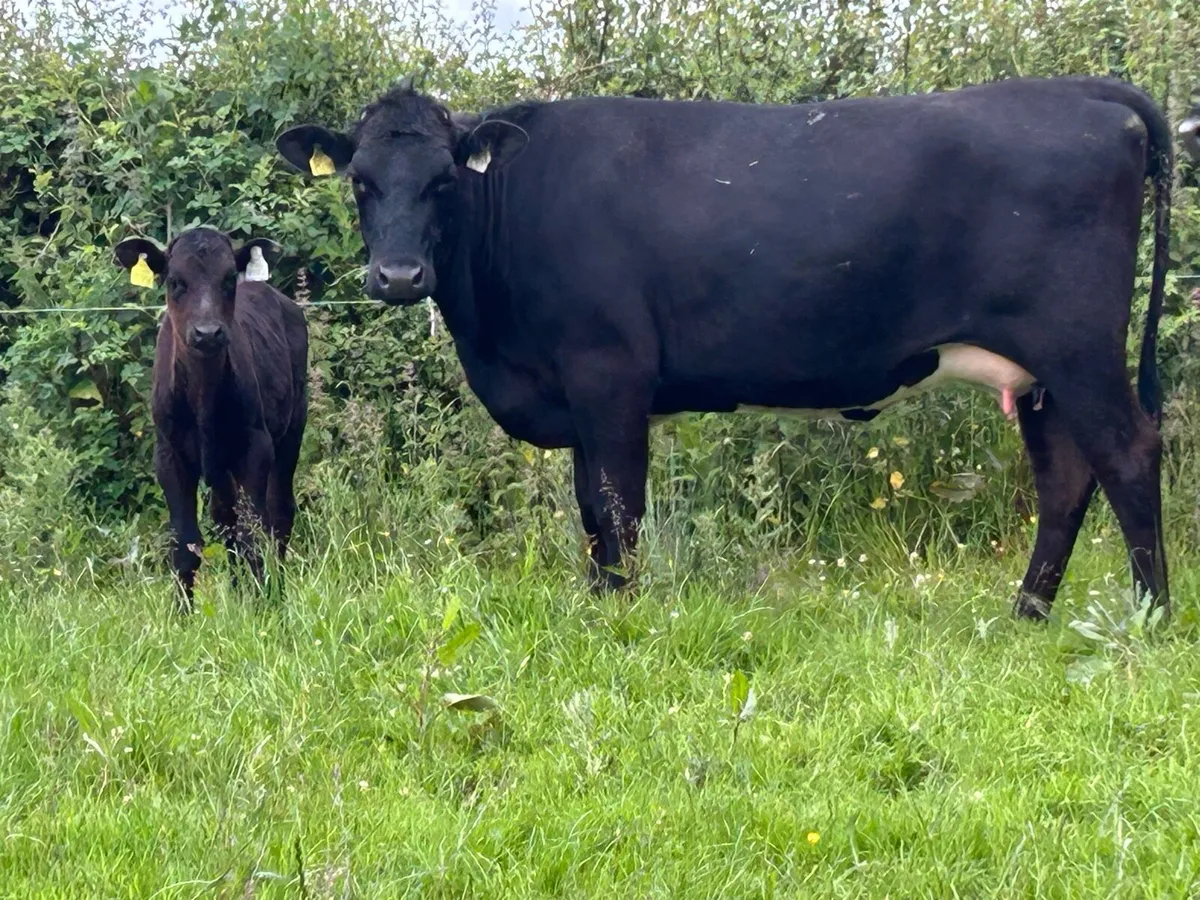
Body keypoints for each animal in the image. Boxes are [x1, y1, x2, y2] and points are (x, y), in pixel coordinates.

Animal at [114, 227, 309, 611]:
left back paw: (274, 591)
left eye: (229, 279)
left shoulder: (255, 447)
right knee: (226, 519)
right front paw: (182, 614)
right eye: (175, 281)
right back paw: (237, 591)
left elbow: (253, 535)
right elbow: (185, 542)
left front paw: (264, 606)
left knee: (278, 515)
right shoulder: (169, 454)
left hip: (292, 428)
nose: (207, 333)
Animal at [276, 74, 1172, 621]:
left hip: (1077, 344)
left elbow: (616, 504)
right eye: (361, 181)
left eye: (443, 182)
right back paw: (1027, 614)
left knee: (1126, 453)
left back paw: (1152, 615)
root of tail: (1077, 91)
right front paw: (599, 601)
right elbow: (589, 508)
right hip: (1041, 371)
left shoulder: (608, 374)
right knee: (1065, 477)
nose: (397, 275)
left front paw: (618, 611)